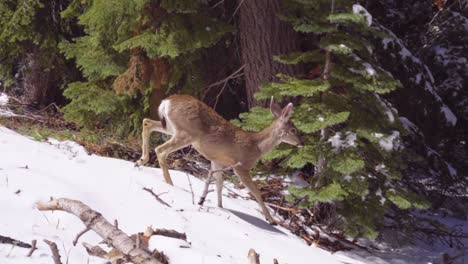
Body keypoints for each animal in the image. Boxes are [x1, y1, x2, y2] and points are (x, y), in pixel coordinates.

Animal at [136, 95, 304, 225]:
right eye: (293, 130)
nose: (301, 143)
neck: (256, 146)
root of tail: (167, 101)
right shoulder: (241, 166)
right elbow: (255, 191)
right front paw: (271, 220)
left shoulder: (217, 161)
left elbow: (219, 184)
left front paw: (220, 206)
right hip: (187, 132)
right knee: (160, 150)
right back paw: (169, 184)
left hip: (172, 127)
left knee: (147, 122)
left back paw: (141, 160)